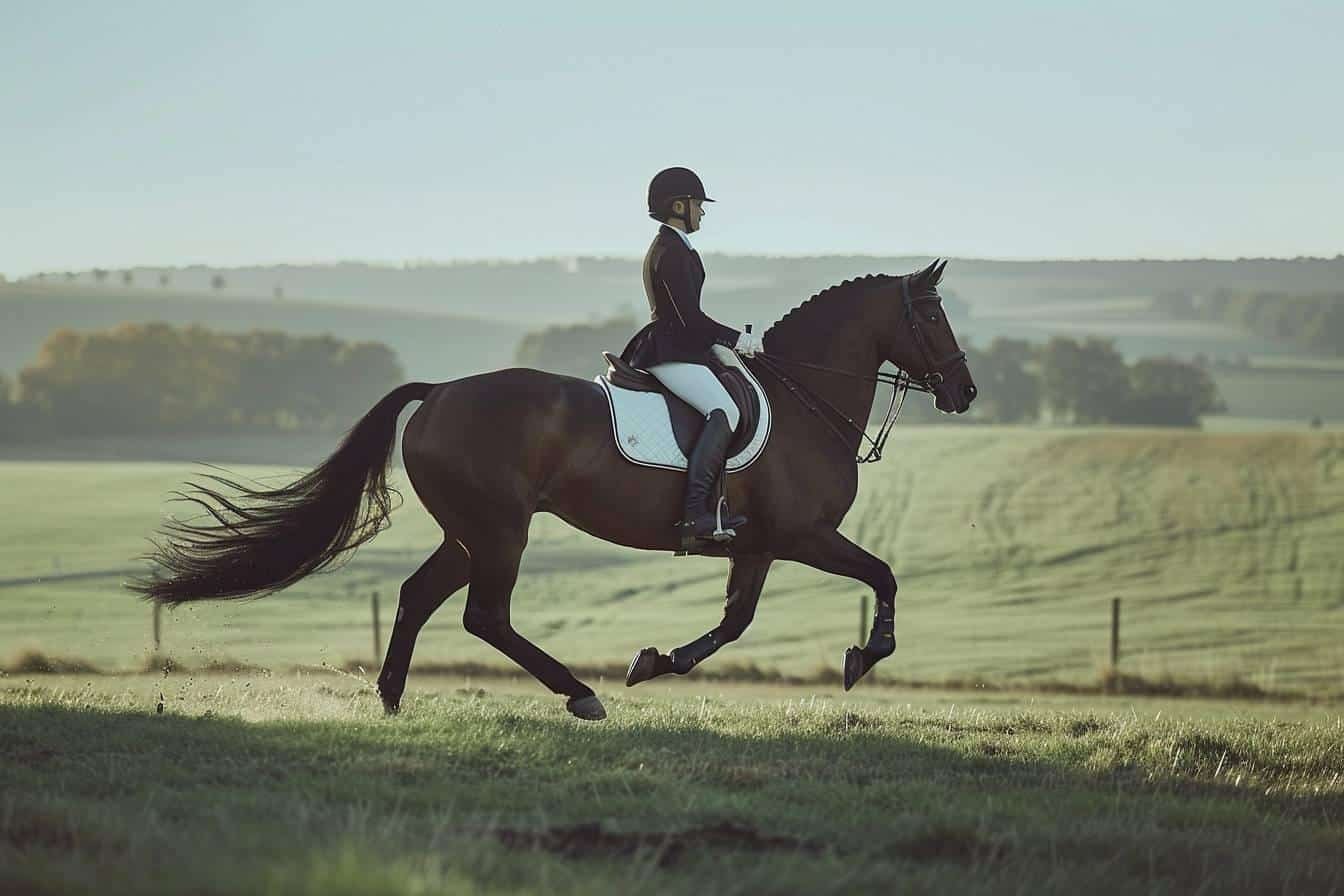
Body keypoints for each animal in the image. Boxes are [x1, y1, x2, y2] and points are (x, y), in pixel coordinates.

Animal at [131, 259, 978, 720]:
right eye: (935, 317)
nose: (966, 392)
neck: (807, 397)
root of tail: (438, 392)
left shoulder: (763, 544)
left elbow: (734, 624)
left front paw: (652, 661)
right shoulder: (804, 536)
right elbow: (881, 575)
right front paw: (868, 654)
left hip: (469, 531)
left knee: (418, 596)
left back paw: (393, 698)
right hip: (501, 529)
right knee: (484, 615)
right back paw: (578, 693)